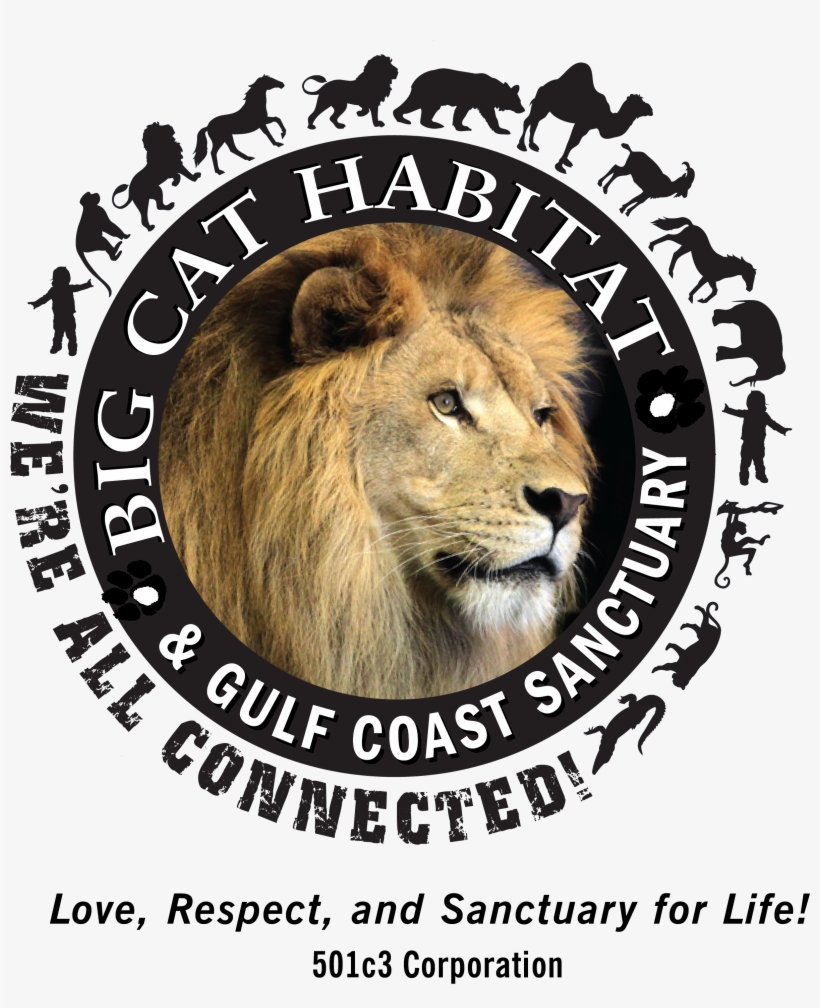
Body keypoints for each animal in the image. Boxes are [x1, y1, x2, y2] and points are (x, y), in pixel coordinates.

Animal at [393, 68, 524, 133]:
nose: (522, 109)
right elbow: (488, 114)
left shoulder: (473, 102)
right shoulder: (477, 100)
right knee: (413, 103)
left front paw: (461, 126)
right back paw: (402, 118)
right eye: (516, 101)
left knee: (428, 109)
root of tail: (415, 80)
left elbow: (462, 112)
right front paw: (502, 130)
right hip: (427, 93)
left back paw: (432, 123)